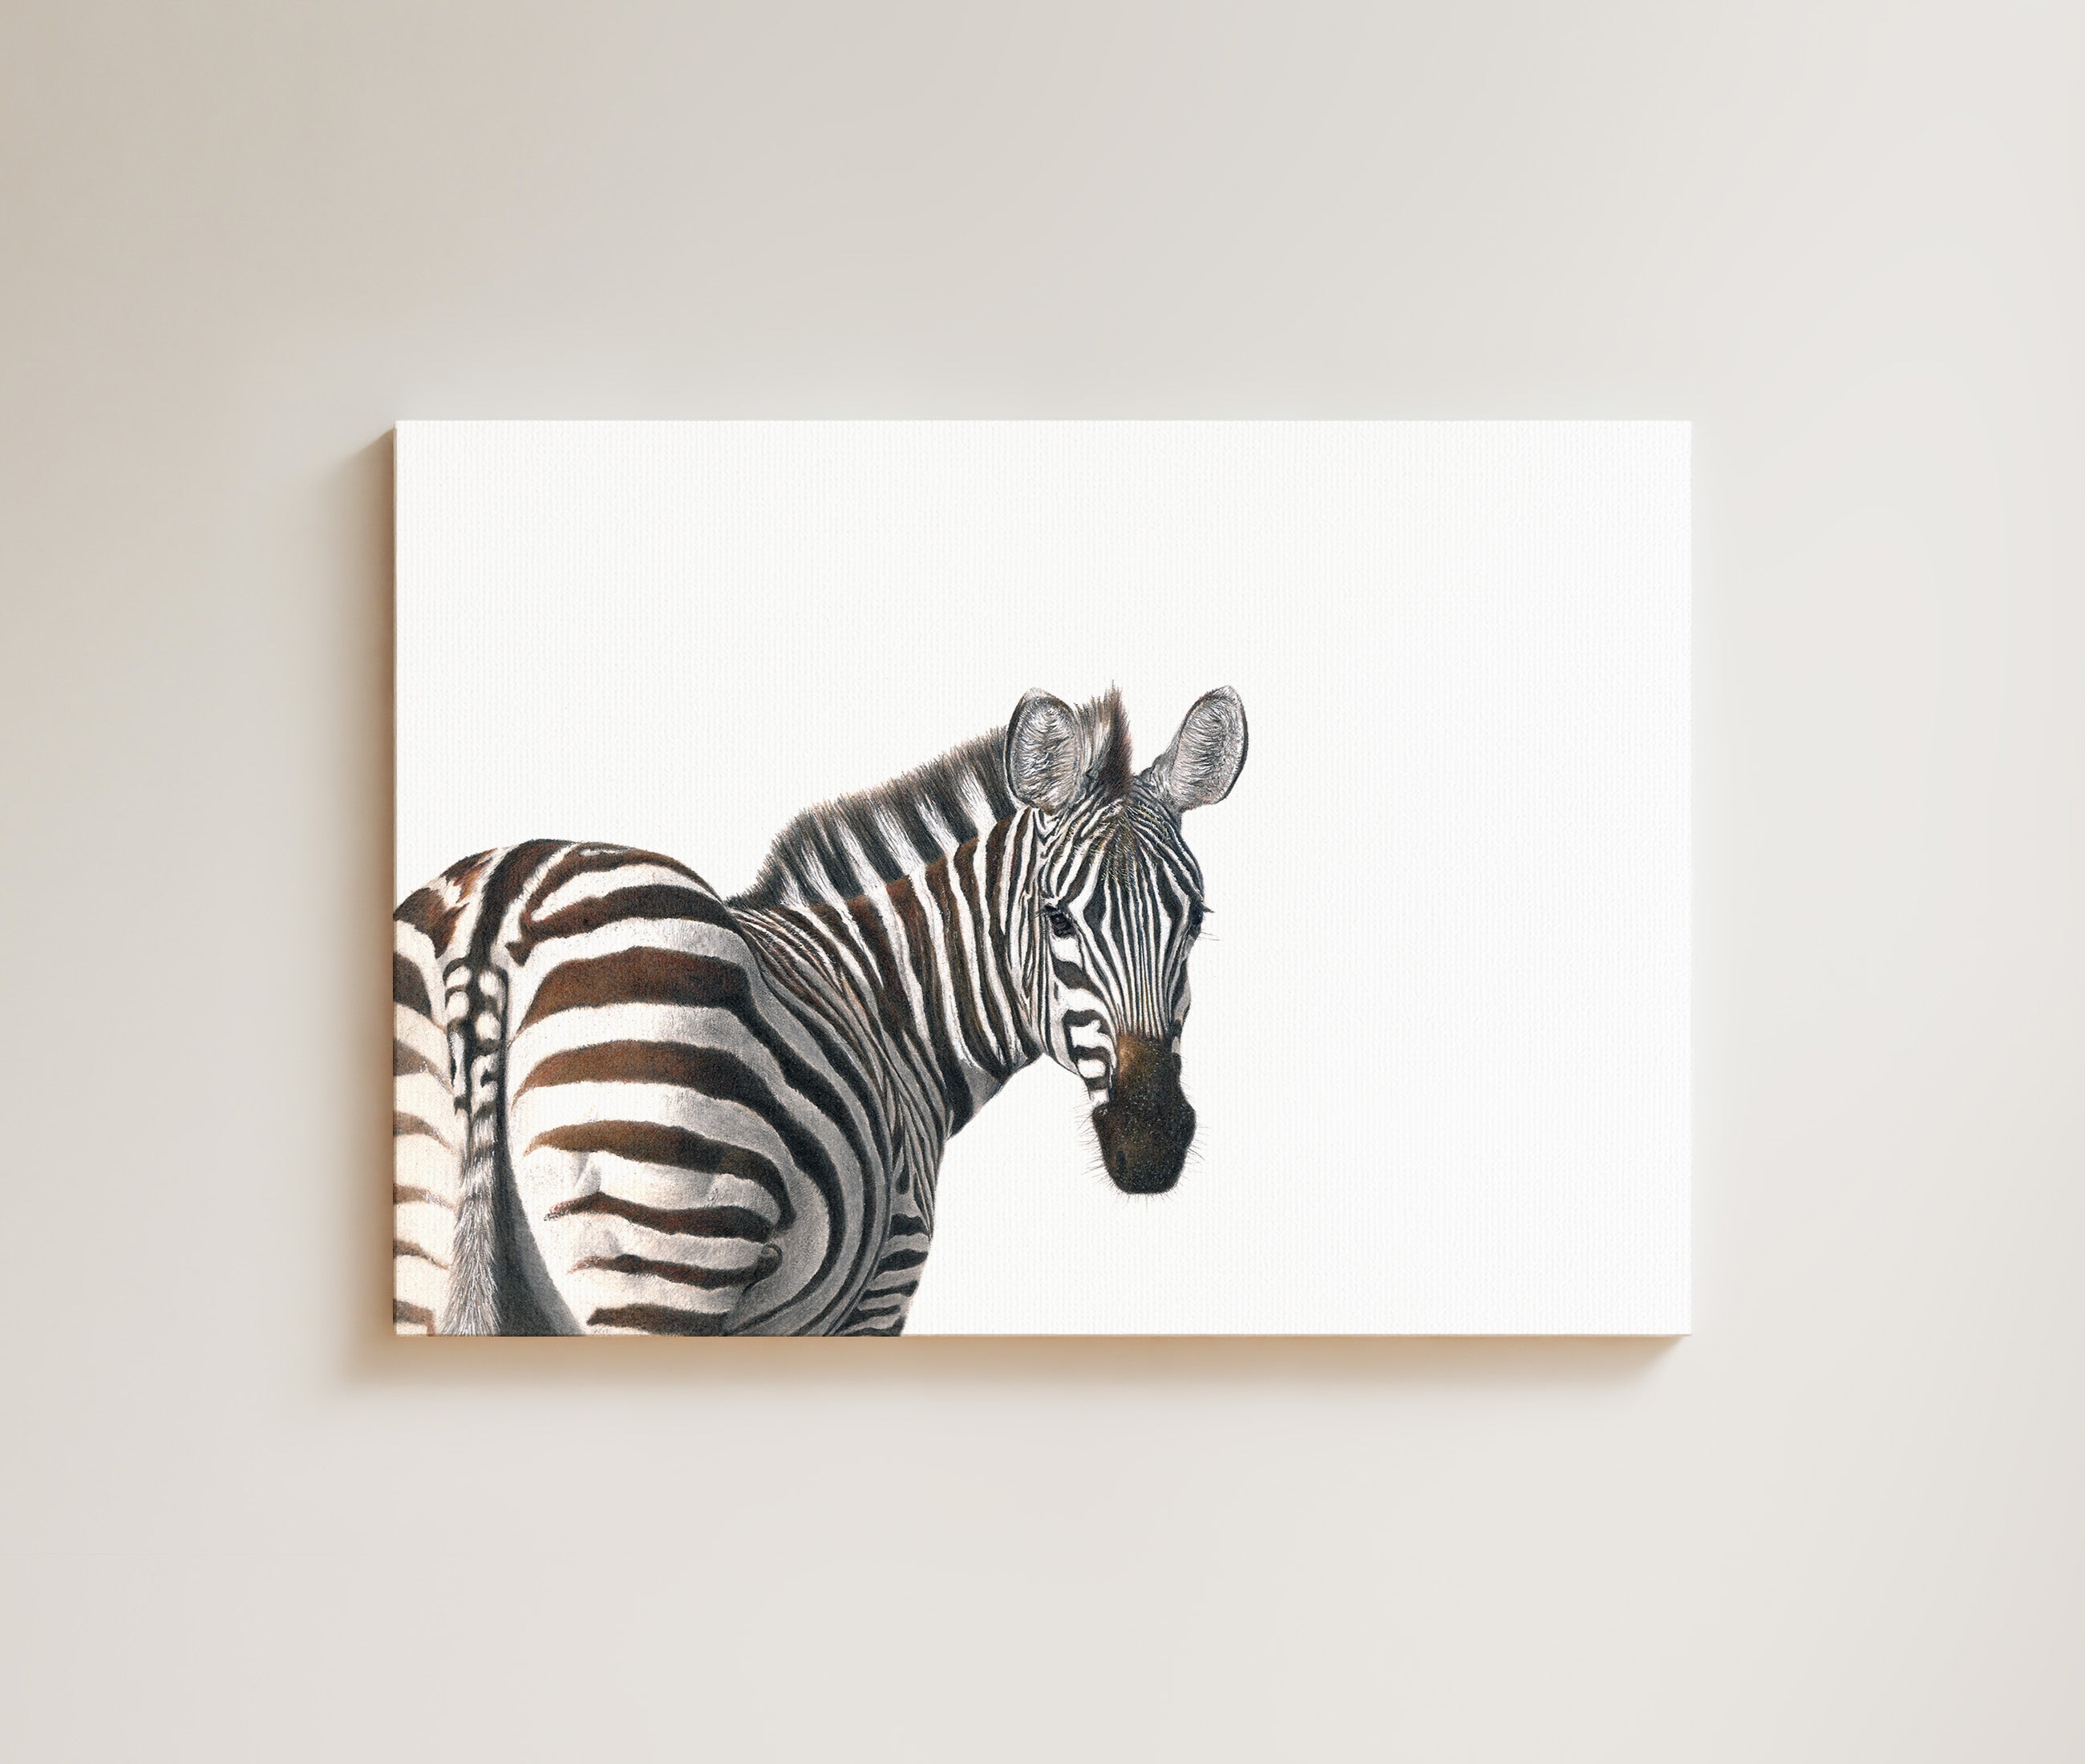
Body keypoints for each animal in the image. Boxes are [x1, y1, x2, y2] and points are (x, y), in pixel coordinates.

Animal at [391, 685, 1248, 1337]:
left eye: (1195, 920)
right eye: (1058, 919)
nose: (1152, 1141)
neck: (893, 1005)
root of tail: (498, 902)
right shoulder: (886, 1279)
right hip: (658, 1252)